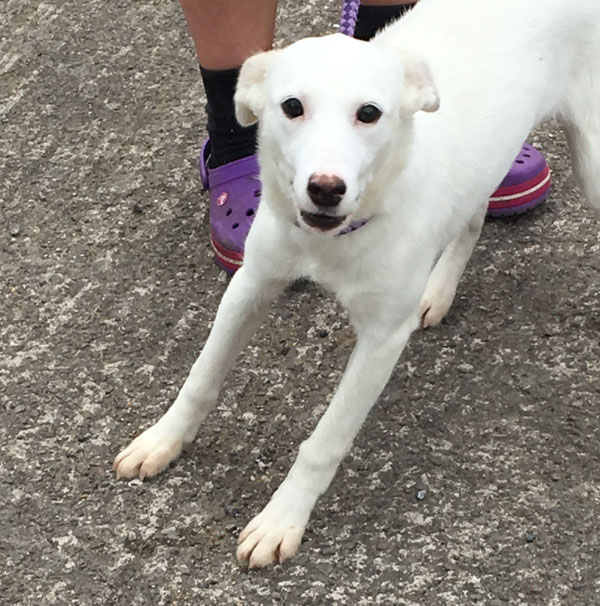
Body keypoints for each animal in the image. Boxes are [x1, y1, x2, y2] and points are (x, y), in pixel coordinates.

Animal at [113, 0, 600, 568]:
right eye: (292, 106)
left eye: (369, 113)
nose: (325, 189)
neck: (335, 237)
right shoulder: (251, 283)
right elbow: (200, 376)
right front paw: (163, 439)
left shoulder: (381, 340)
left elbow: (324, 441)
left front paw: (283, 518)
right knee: (472, 216)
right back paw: (438, 291)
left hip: (592, 168)